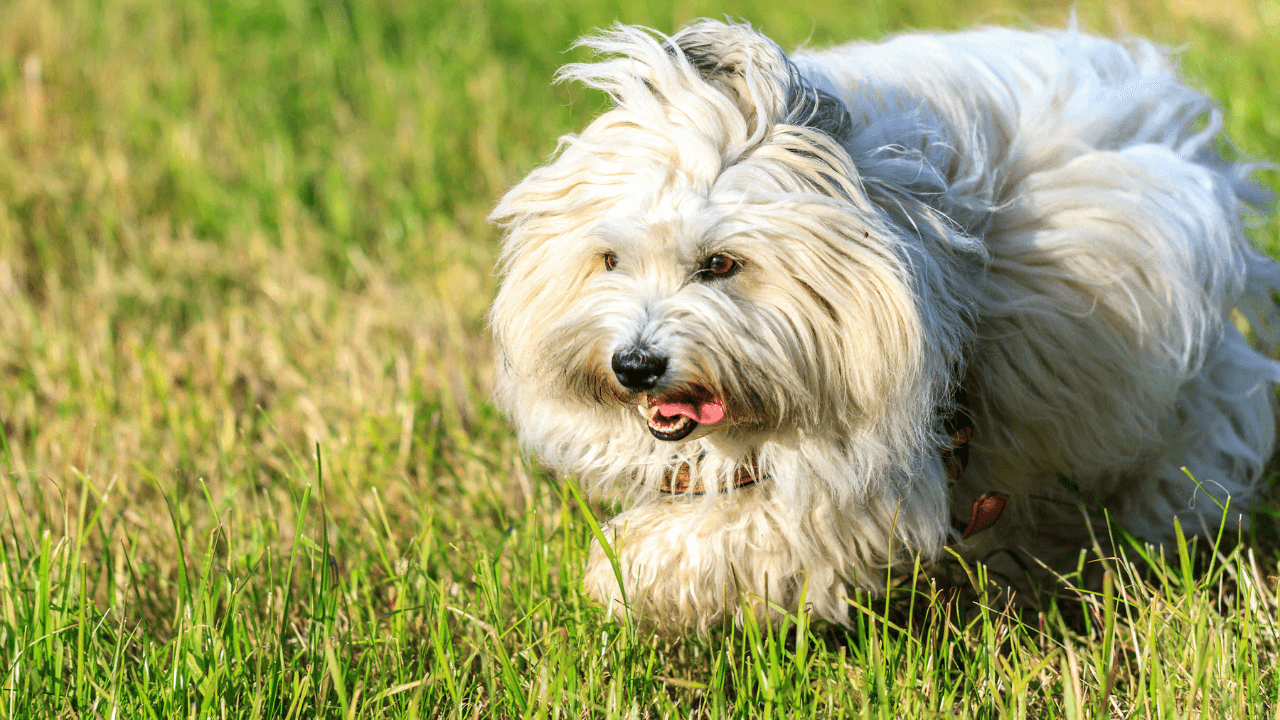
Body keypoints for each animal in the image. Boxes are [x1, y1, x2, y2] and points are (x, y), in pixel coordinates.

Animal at [486, 20, 1280, 627]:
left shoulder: (871, 479)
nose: (635, 365)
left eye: (719, 264)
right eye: (610, 260)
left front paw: (627, 574)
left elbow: (749, 532)